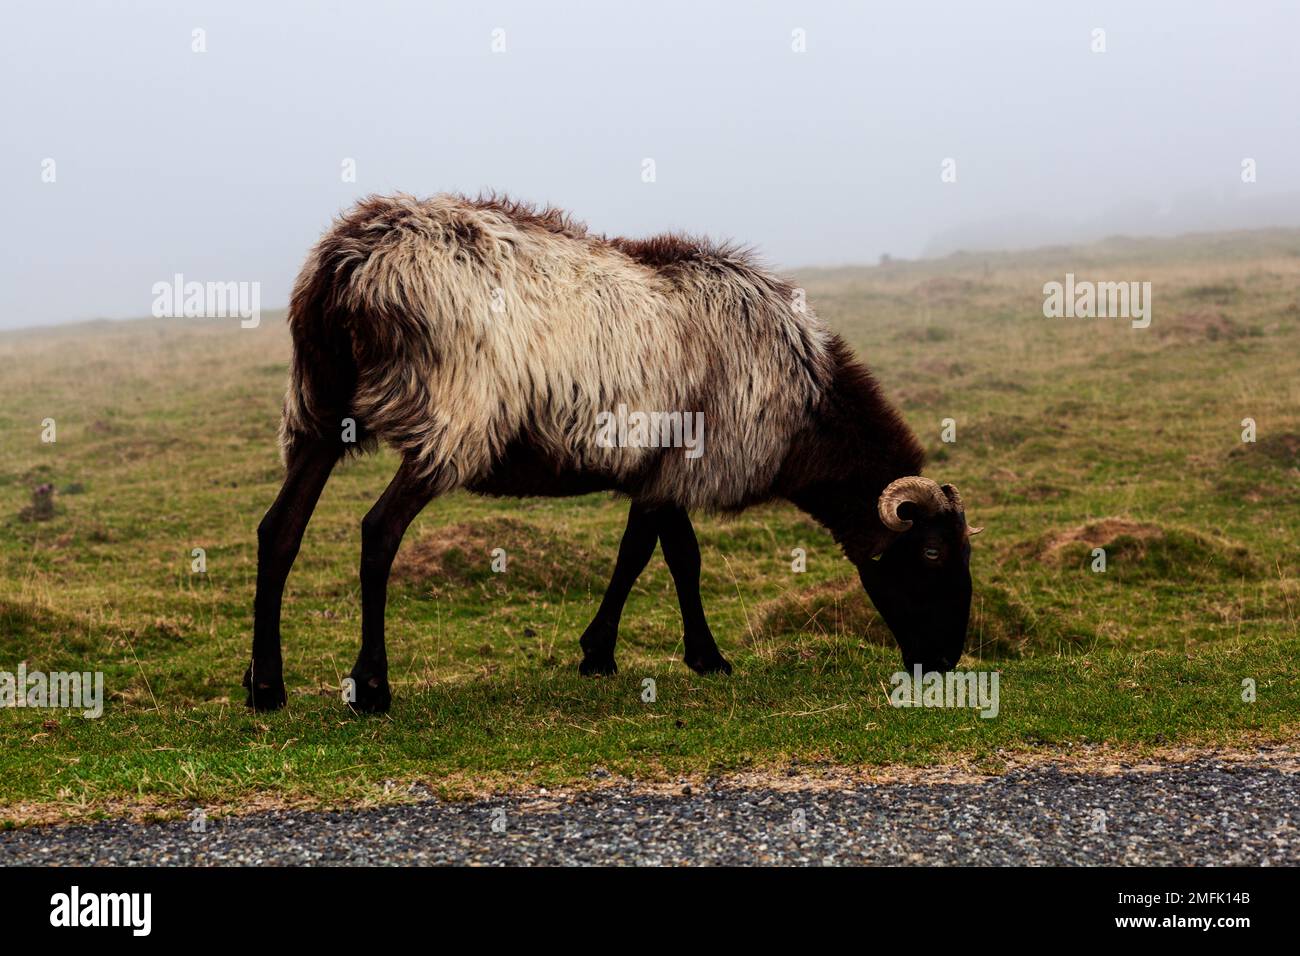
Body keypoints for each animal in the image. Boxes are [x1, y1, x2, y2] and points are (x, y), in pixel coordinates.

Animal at [246, 193, 980, 712]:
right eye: (932, 554)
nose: (944, 662)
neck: (806, 411)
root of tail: (350, 263)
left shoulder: (660, 467)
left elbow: (658, 554)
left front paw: (631, 653)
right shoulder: (683, 463)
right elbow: (661, 557)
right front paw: (669, 655)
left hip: (319, 408)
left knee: (279, 530)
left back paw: (266, 687)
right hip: (450, 421)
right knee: (378, 532)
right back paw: (372, 687)